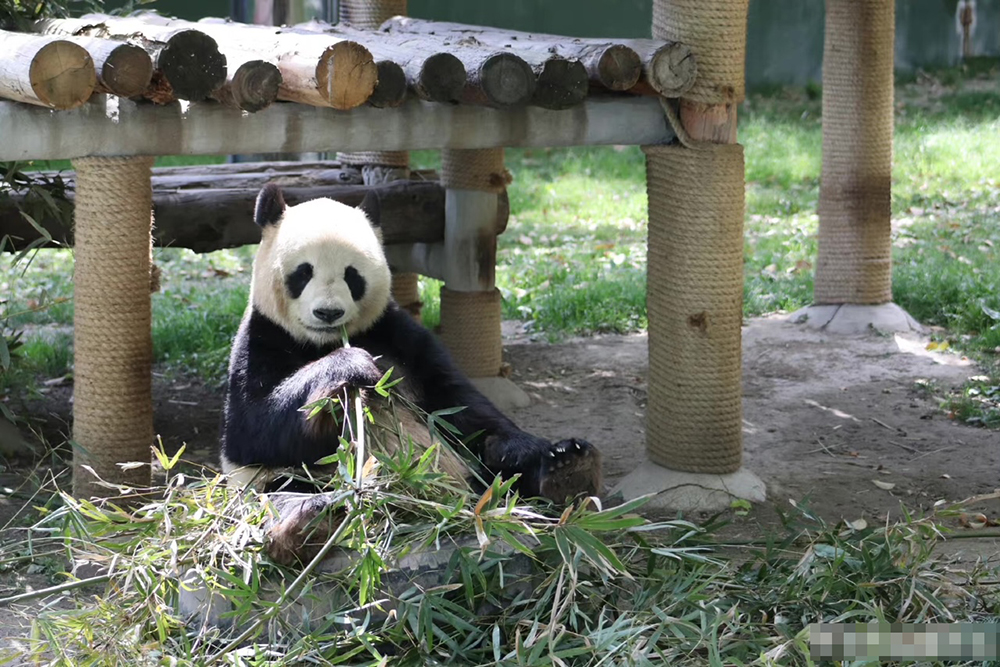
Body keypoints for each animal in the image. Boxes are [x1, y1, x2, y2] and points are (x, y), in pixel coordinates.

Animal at [221, 184, 600, 564]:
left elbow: (457, 404)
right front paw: (350, 366)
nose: (328, 313)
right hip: (281, 481)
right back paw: (307, 523)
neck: (320, 342)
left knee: (495, 461)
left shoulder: (398, 334)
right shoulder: (261, 339)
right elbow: (253, 430)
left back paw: (567, 469)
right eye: (303, 272)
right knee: (284, 490)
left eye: (352, 275)